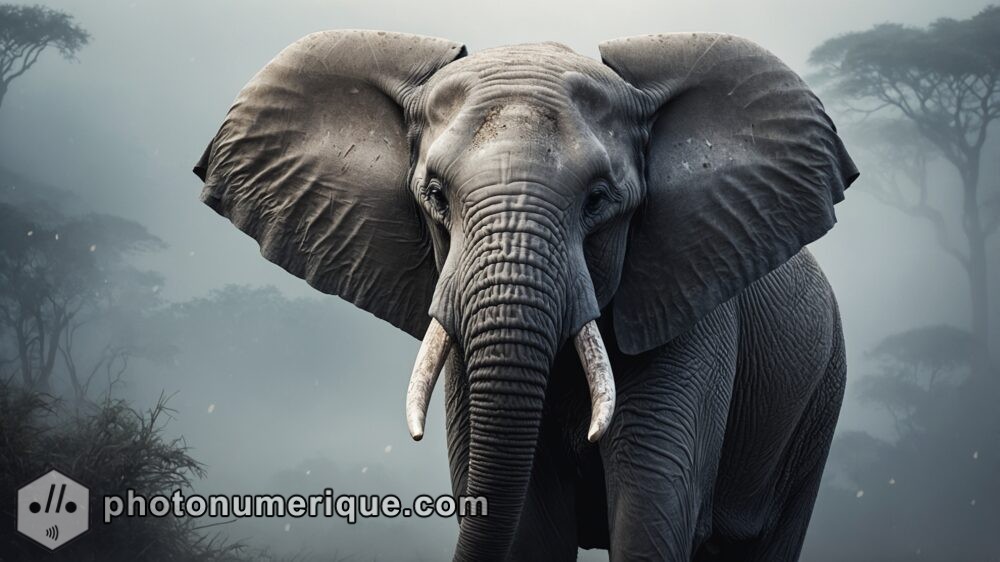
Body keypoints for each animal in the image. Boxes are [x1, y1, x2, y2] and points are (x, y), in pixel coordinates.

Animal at [193, 31, 860, 560]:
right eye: (434, 194)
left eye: (599, 200)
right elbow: (529, 528)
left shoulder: (689, 308)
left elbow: (652, 508)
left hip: (820, 397)